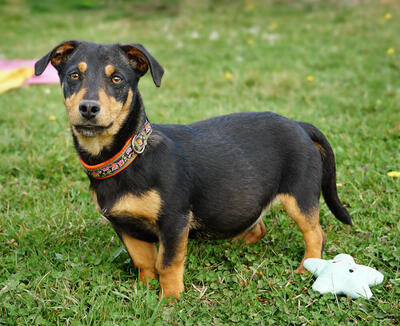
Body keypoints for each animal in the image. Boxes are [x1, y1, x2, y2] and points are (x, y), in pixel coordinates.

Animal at [35, 40, 354, 298]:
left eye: (117, 79)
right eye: (74, 75)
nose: (89, 109)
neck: (127, 156)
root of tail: (299, 125)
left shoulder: (174, 220)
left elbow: (167, 262)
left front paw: (170, 300)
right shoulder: (124, 225)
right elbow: (144, 261)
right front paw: (145, 290)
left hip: (300, 196)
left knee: (315, 234)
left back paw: (304, 268)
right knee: (258, 225)